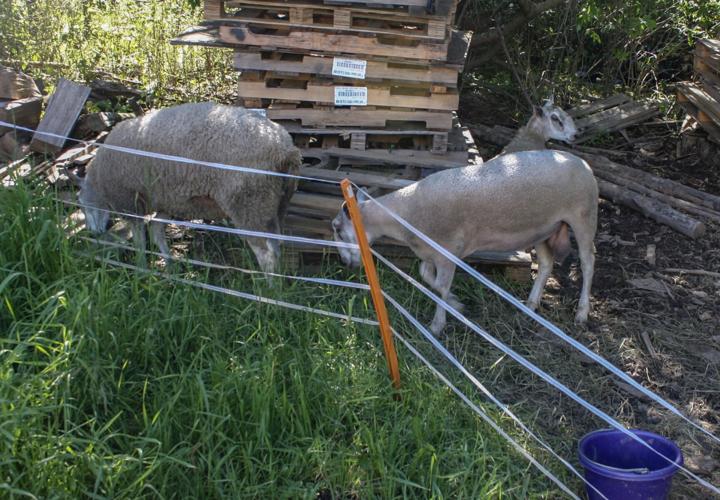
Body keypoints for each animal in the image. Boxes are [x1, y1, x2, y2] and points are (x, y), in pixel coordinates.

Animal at [68, 102, 302, 272]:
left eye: (81, 202)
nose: (93, 232)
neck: (100, 181)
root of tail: (285, 149)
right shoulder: (168, 201)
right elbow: (156, 230)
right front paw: (169, 264)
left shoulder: (130, 202)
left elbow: (140, 241)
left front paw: (142, 268)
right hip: (274, 202)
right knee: (276, 246)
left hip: (248, 203)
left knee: (265, 252)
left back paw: (267, 295)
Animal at [332, 149, 598, 334]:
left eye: (337, 229)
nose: (344, 263)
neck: (407, 214)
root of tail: (582, 162)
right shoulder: (430, 253)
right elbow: (426, 277)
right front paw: (456, 304)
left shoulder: (447, 251)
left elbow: (440, 287)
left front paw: (437, 325)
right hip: (543, 228)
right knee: (546, 264)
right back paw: (531, 305)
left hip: (583, 216)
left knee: (587, 263)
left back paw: (581, 313)